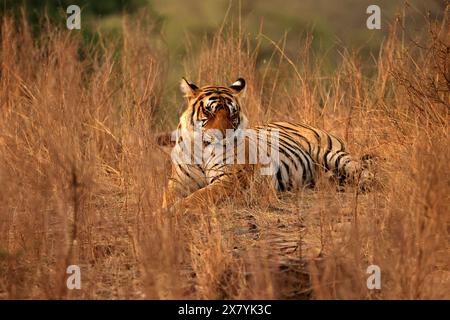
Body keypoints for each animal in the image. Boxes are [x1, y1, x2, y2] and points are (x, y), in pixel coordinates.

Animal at [160, 77, 374, 212]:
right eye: (209, 111)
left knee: (364, 171)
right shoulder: (179, 180)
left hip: (332, 154)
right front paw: (164, 210)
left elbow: (199, 197)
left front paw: (175, 210)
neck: (202, 149)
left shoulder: (229, 180)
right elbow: (167, 196)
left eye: (232, 113)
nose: (222, 135)